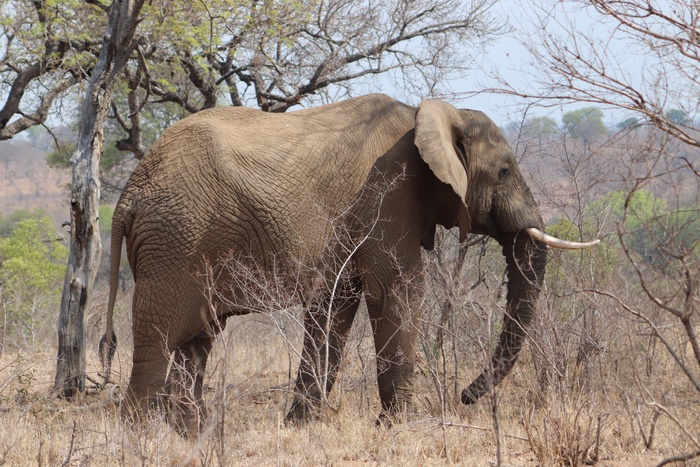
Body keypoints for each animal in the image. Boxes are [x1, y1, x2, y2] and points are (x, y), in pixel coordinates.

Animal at [100, 92, 596, 436]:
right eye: (506, 172)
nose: (464, 396)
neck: (430, 113)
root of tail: (129, 194)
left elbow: (333, 308)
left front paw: (299, 427)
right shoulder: (390, 194)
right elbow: (399, 291)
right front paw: (398, 428)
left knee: (197, 339)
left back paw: (190, 436)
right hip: (174, 241)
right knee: (159, 336)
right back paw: (140, 437)